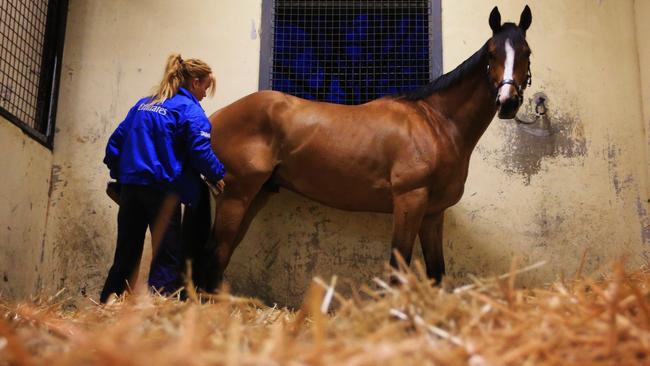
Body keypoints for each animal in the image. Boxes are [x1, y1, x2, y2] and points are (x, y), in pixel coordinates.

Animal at [201, 5, 532, 292]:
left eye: (526, 52)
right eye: (492, 53)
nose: (508, 102)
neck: (436, 122)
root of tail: (215, 117)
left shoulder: (432, 213)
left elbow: (436, 274)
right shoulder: (409, 202)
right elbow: (397, 271)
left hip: (255, 196)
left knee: (222, 252)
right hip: (236, 196)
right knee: (217, 253)